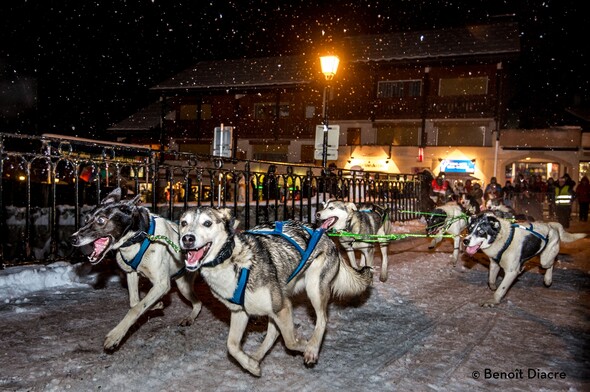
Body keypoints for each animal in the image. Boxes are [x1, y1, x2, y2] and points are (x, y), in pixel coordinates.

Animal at [70, 188, 201, 350]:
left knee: (199, 303)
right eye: (86, 219)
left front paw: (115, 335)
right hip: (182, 284)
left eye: (101, 220)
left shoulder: (161, 284)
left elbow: (136, 309)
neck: (139, 238)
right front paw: (157, 304)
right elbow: (135, 302)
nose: (73, 238)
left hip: (184, 285)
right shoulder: (131, 273)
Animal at [180, 207, 372, 378]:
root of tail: (325, 234)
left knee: (322, 320)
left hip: (312, 290)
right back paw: (256, 358)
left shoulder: (283, 307)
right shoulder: (241, 312)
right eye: (183, 223)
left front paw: (306, 346)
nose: (187, 238)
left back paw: (312, 348)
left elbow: (290, 342)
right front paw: (250, 365)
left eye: (207, 223)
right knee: (274, 333)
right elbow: (232, 346)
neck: (232, 261)